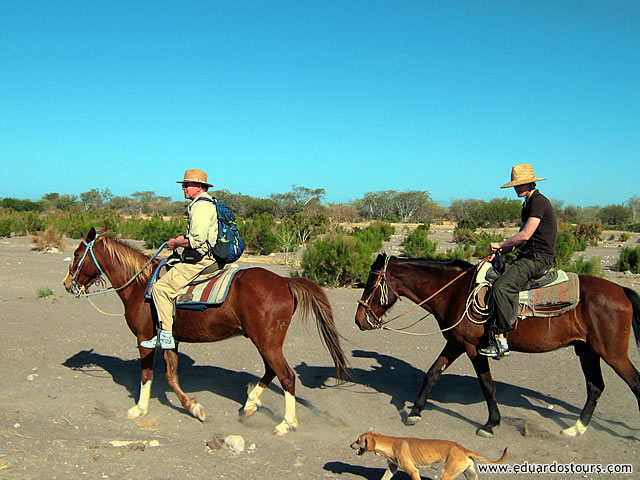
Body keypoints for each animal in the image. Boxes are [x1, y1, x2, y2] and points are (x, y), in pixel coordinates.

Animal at [63, 227, 348, 435]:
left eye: (77, 255)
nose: (67, 284)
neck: (140, 285)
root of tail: (285, 281)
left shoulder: (144, 338)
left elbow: (147, 375)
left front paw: (141, 409)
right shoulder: (172, 339)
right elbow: (171, 376)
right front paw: (192, 407)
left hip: (266, 342)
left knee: (286, 376)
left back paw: (286, 423)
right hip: (265, 341)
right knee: (271, 371)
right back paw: (250, 405)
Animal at [350, 431, 507, 480]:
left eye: (358, 440)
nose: (350, 445)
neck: (391, 443)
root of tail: (463, 449)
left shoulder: (413, 471)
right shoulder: (392, 468)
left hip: (447, 474)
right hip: (470, 474)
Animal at [355, 253, 640, 438]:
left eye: (370, 283)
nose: (358, 320)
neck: (455, 292)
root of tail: (622, 291)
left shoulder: (473, 349)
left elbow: (487, 385)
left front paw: (491, 424)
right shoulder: (456, 344)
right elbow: (432, 373)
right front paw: (415, 412)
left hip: (612, 353)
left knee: (634, 384)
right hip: (587, 351)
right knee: (595, 387)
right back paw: (576, 428)